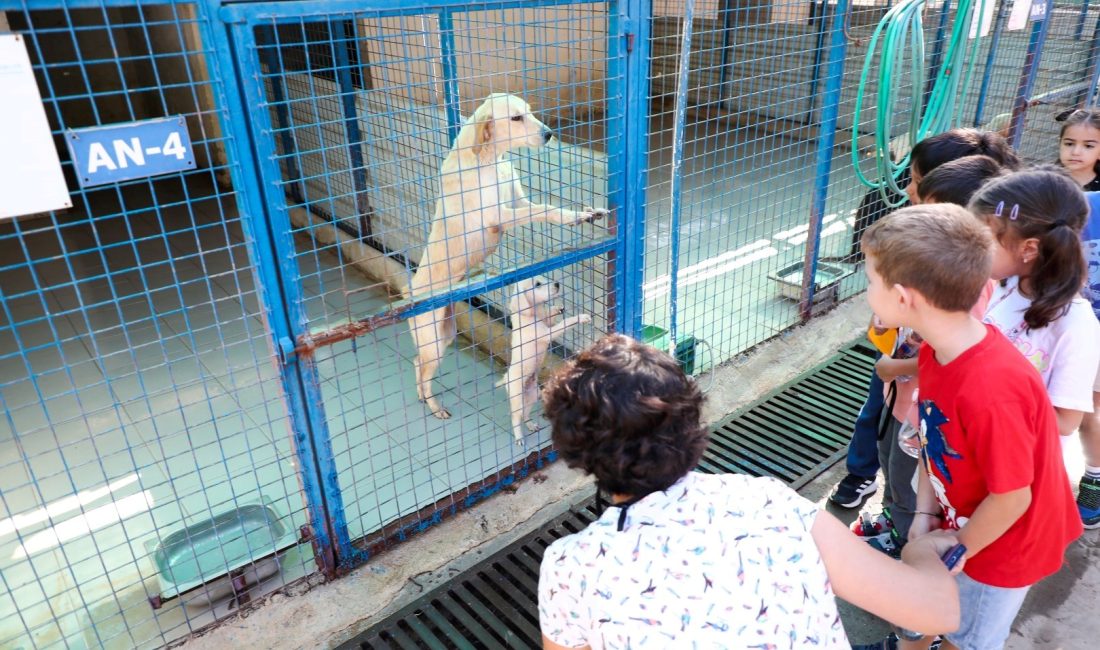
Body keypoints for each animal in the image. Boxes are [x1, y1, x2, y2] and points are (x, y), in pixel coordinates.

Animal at [407, 92, 607, 422]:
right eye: (516, 118)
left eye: (529, 111)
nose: (549, 134)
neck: (488, 160)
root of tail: (410, 294)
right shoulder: (500, 217)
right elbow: (545, 209)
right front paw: (571, 217)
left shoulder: (518, 201)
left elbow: (543, 206)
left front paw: (585, 214)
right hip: (432, 342)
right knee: (422, 371)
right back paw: (434, 407)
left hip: (445, 334)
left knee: (417, 365)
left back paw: (424, 399)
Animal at [497, 274, 589, 448]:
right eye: (537, 284)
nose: (557, 284)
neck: (531, 315)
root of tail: (506, 378)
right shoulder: (547, 334)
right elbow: (564, 323)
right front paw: (580, 318)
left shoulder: (547, 323)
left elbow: (549, 316)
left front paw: (557, 308)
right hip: (517, 398)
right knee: (515, 418)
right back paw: (519, 438)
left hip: (532, 395)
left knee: (525, 414)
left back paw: (530, 425)